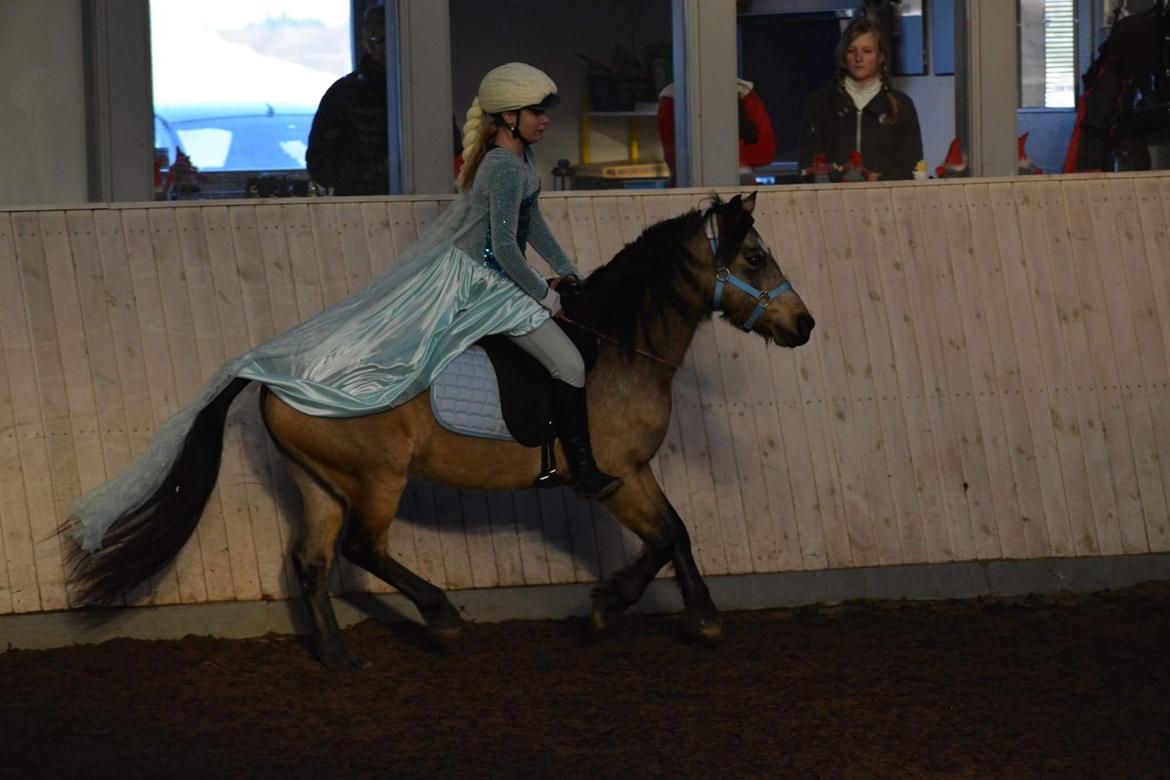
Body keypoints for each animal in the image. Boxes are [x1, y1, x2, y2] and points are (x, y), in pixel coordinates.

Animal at [70, 192, 815, 670]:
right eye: (753, 257)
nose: (804, 326)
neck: (619, 350)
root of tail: (270, 373)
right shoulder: (613, 478)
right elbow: (663, 538)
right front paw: (610, 606)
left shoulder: (637, 472)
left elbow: (677, 533)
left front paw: (701, 615)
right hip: (376, 477)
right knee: (364, 550)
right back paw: (442, 616)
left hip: (318, 483)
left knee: (311, 561)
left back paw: (336, 654)